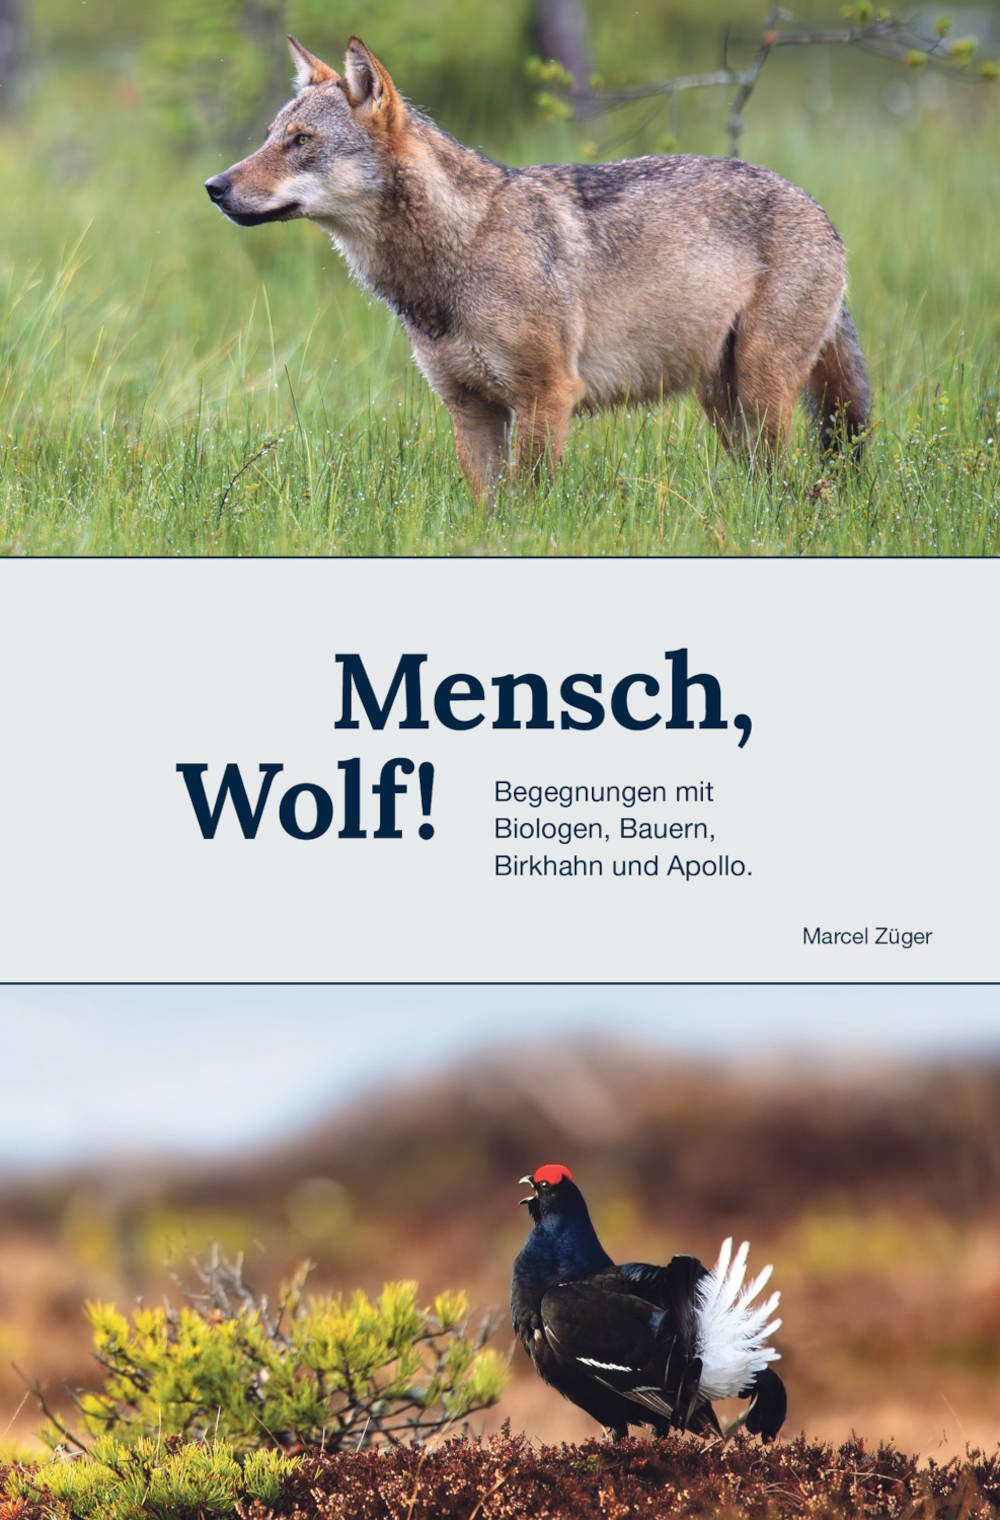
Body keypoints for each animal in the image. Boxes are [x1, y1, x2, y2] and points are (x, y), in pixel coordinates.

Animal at [205, 36, 870, 503]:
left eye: (301, 141)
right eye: (269, 136)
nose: (214, 187)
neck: (461, 249)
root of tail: (820, 210)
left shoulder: (545, 397)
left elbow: (530, 508)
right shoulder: (470, 410)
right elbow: (490, 512)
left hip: (760, 392)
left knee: (797, 488)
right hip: (725, 405)